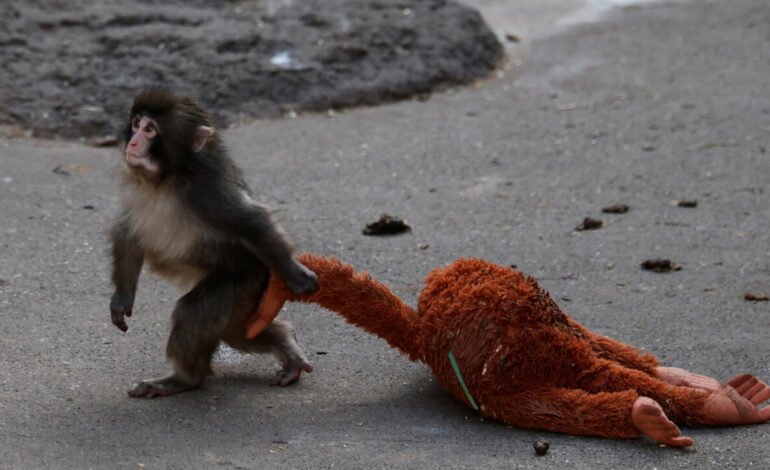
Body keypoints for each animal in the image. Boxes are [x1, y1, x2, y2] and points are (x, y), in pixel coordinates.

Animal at [109, 89, 319, 398]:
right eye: (136, 124)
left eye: (150, 130)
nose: (133, 142)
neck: (166, 179)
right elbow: (127, 231)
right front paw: (122, 298)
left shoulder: (208, 192)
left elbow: (251, 220)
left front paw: (295, 274)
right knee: (239, 332)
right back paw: (286, 342)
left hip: (245, 280)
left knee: (195, 313)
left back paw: (184, 379)